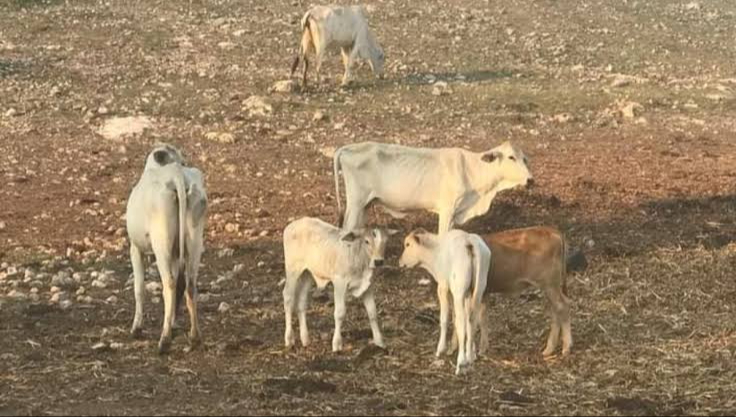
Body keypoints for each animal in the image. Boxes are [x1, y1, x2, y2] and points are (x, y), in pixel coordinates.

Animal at [126, 144, 207, 354]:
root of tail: (176, 175)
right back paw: (194, 337)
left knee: (169, 284)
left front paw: (136, 328)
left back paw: (164, 340)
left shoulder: (135, 248)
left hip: (161, 244)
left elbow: (139, 288)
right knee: (189, 285)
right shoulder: (175, 254)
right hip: (194, 241)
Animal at [284, 218, 396, 352]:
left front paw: (379, 341)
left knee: (301, 302)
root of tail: (295, 223)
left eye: (385, 241)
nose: (378, 261)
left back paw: (305, 339)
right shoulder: (339, 283)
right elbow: (340, 313)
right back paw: (289, 339)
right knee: (288, 298)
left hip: (308, 273)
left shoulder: (368, 286)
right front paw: (337, 344)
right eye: (366, 241)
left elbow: (372, 313)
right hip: (292, 270)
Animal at [334, 141, 536, 234]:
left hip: (365, 205)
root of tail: (347, 148)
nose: (530, 180)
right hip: (356, 203)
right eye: (511, 157)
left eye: (525, 159)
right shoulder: (447, 209)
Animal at [400, 228, 492, 374]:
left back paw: (461, 362)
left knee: (461, 322)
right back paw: (469, 358)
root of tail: (469, 242)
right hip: (478, 288)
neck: (435, 251)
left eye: (407, 244)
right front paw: (468, 352)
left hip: (458, 290)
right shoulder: (467, 293)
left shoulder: (443, 287)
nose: (400, 262)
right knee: (472, 319)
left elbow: (445, 319)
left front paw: (441, 349)